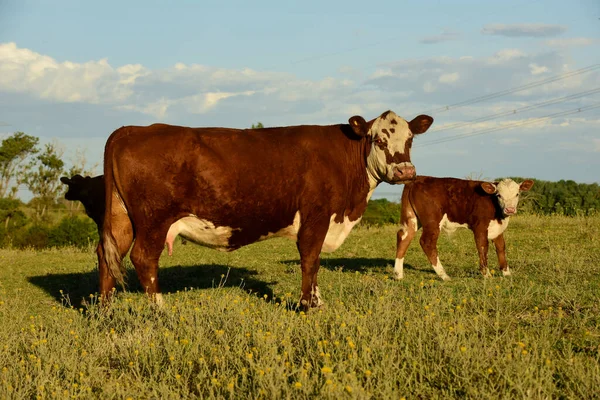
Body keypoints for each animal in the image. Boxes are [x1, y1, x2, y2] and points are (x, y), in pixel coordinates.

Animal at [98, 111, 434, 308]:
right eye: (379, 139)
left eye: (410, 139)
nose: (405, 171)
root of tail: (130, 129)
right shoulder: (315, 215)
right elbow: (310, 260)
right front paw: (307, 305)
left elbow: (315, 263)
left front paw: (316, 301)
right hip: (153, 219)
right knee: (143, 258)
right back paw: (160, 309)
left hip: (121, 218)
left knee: (107, 255)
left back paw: (105, 310)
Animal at [396, 177, 532, 282]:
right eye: (499, 195)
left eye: (517, 194)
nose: (510, 209)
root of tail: (418, 178)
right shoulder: (480, 227)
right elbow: (483, 247)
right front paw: (486, 275)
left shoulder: (497, 229)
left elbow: (501, 248)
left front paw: (507, 273)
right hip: (432, 221)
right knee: (427, 242)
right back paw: (444, 275)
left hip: (412, 218)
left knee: (403, 237)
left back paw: (398, 275)